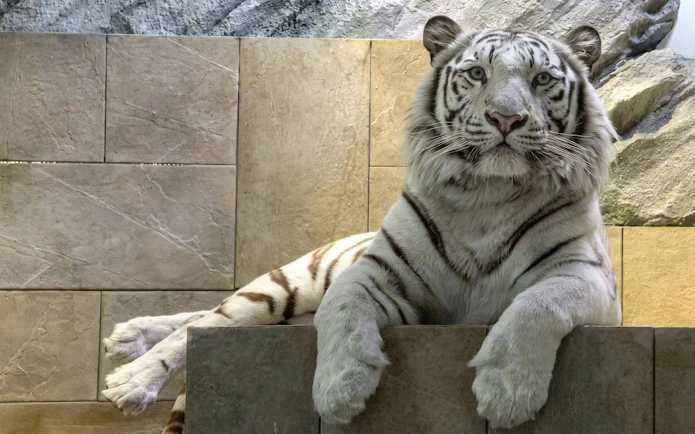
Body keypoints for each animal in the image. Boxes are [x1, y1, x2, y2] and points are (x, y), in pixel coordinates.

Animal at [102, 15, 621, 433]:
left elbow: (538, 304)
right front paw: (338, 390)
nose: (506, 118)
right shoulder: (380, 272)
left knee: (204, 321)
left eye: (542, 79)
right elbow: (344, 306)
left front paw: (506, 393)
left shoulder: (584, 277)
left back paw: (125, 338)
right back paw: (130, 374)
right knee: (206, 323)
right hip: (284, 286)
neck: (488, 197)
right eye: (477, 73)